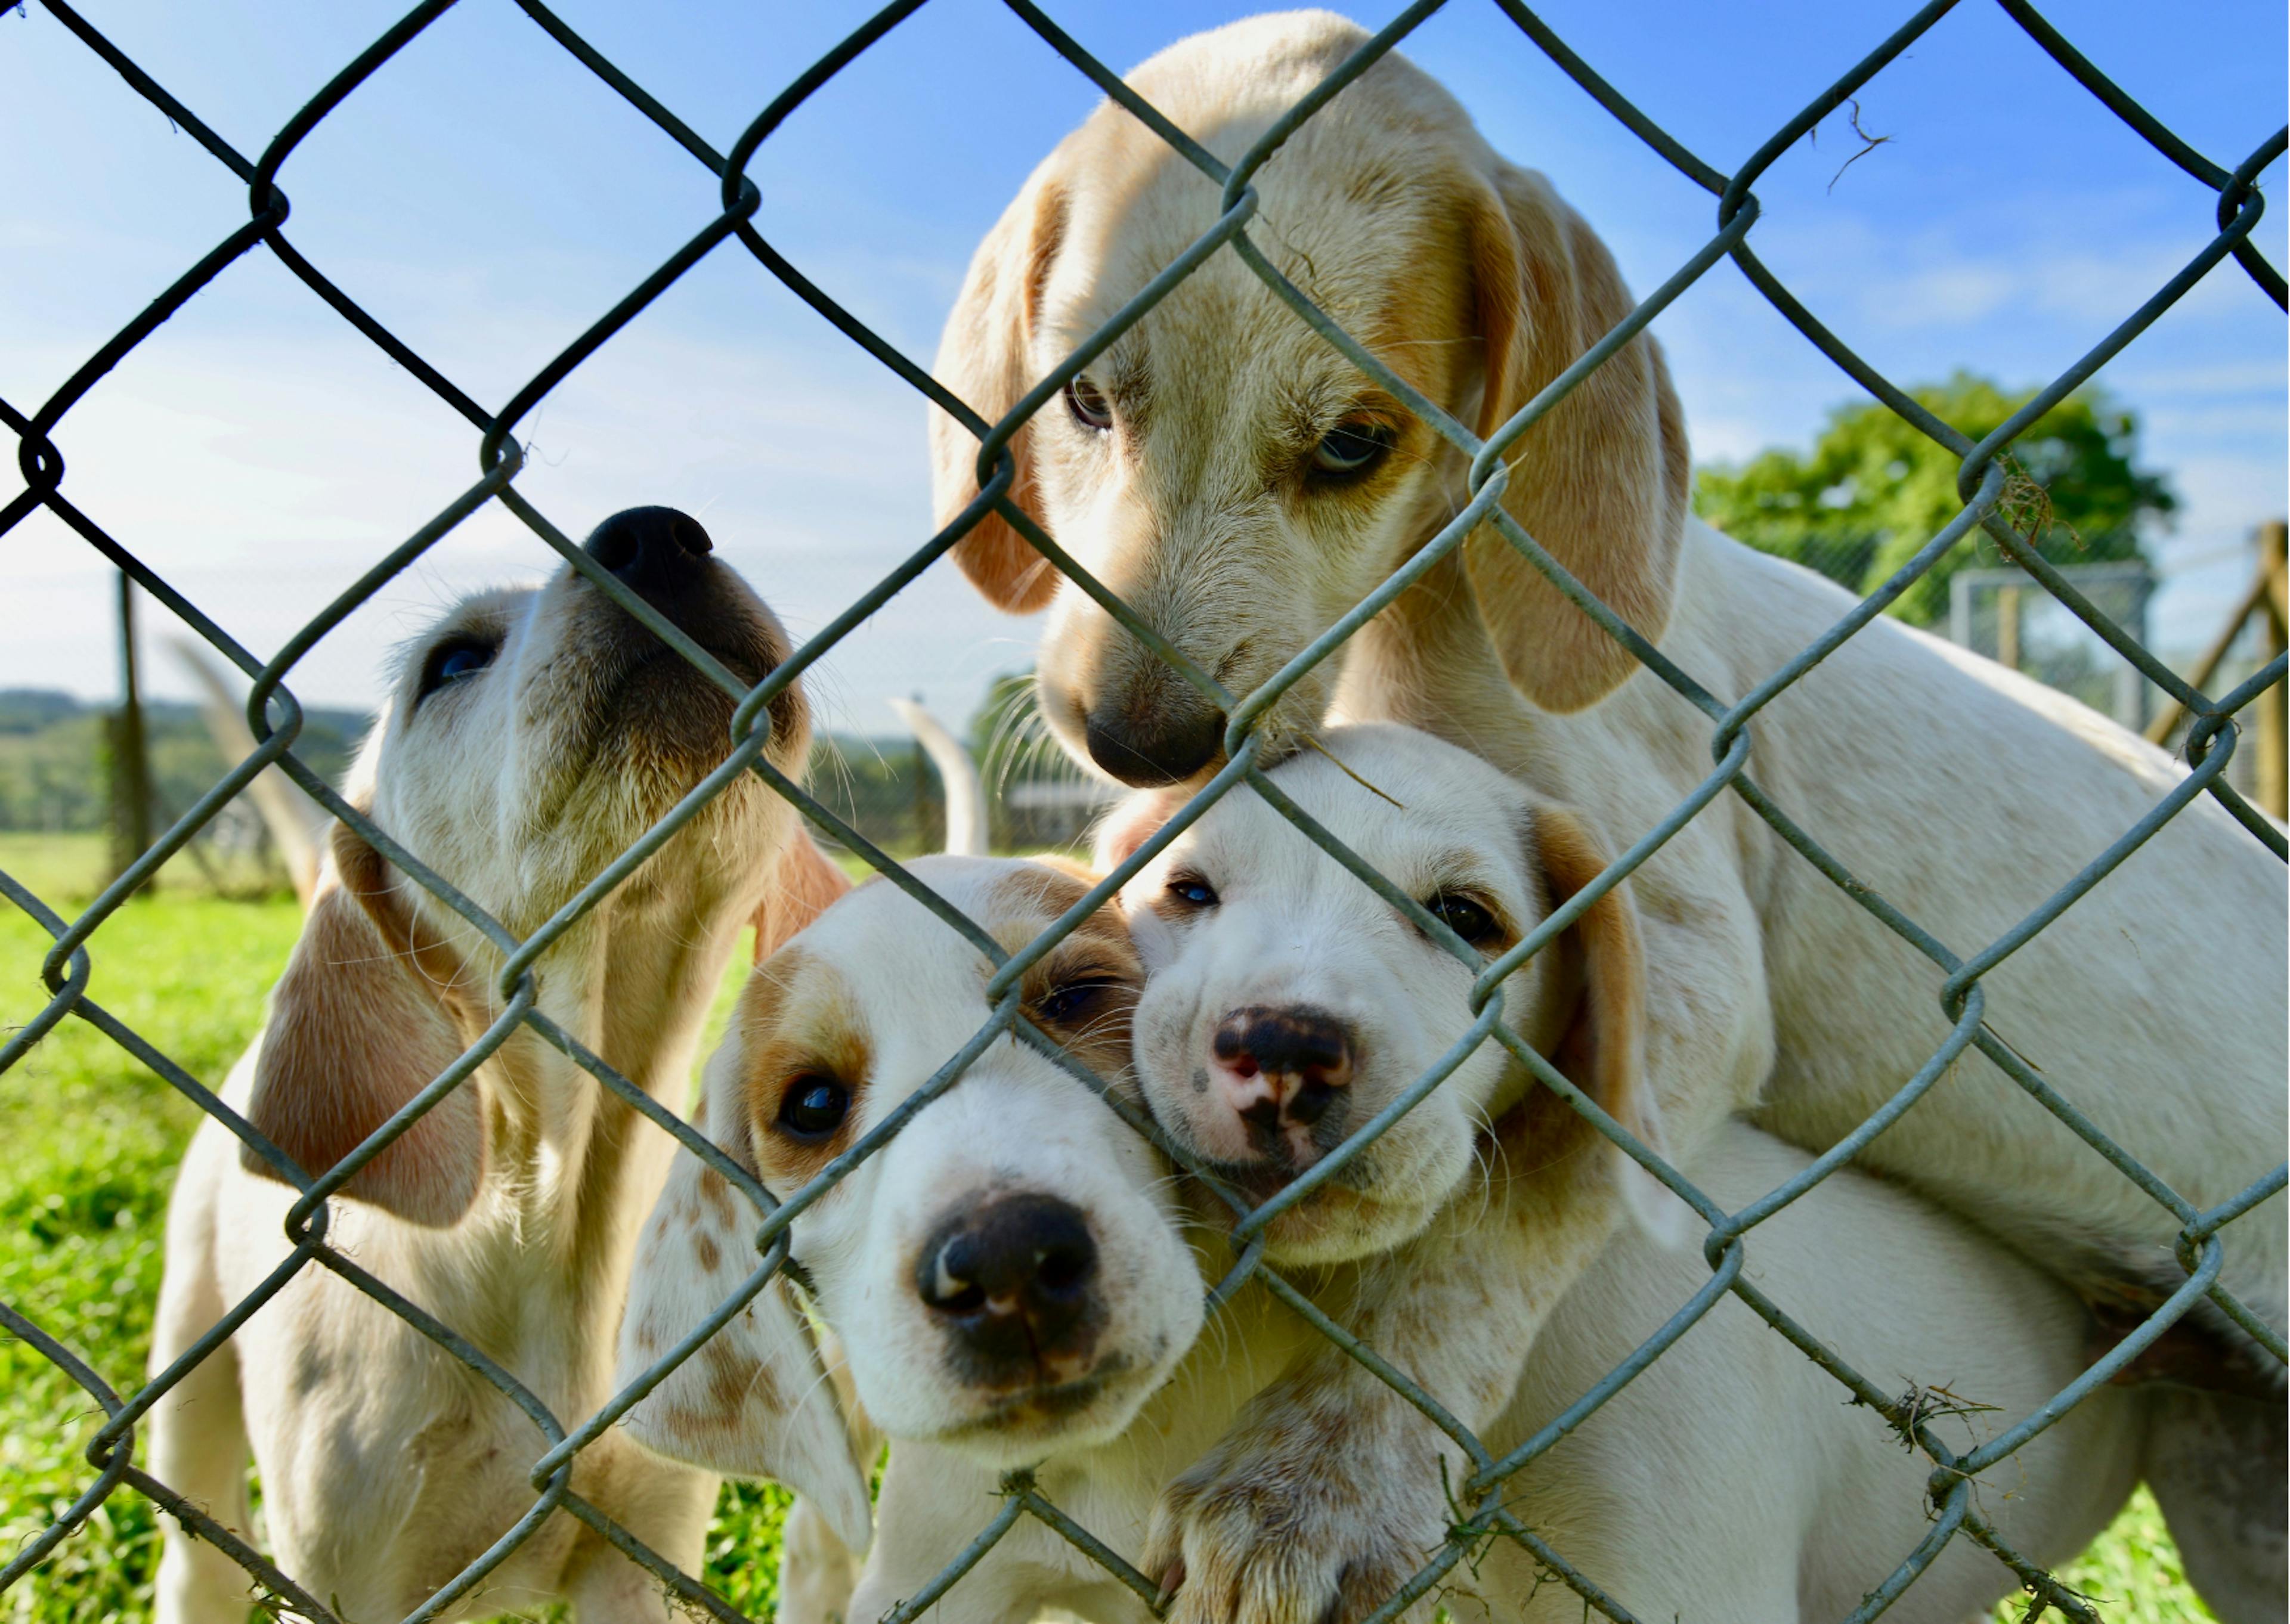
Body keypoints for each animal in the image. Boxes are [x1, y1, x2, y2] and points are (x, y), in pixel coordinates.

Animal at [152, 506, 852, 1622]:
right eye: (453, 661)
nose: (655, 534)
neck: (550, 1219)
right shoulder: (353, 1578)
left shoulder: (640, 1549)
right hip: (191, 1367)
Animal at [934, 13, 2290, 1612]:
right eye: (1084, 402)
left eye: (1353, 446)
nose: (1136, 738)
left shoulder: (1681, 966)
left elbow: (1499, 1214)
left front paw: (1321, 1477)